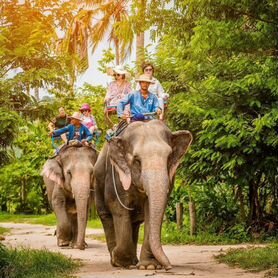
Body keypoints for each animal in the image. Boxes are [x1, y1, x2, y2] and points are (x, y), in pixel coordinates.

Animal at [94, 119, 192, 270]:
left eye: (169, 157)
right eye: (137, 160)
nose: (168, 266)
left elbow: (151, 212)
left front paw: (149, 266)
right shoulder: (115, 175)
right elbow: (118, 208)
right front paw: (121, 261)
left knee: (134, 223)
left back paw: (133, 260)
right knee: (106, 216)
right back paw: (115, 260)